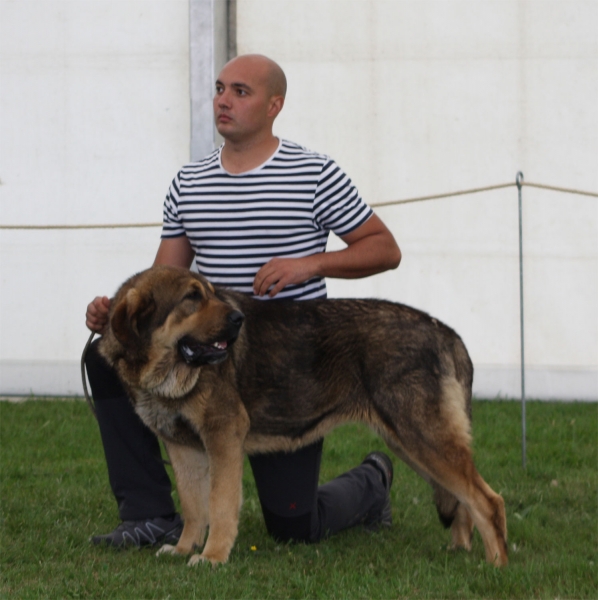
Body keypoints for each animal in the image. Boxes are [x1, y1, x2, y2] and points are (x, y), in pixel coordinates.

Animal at [98, 266, 510, 568]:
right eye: (192, 298)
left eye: (209, 293)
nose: (238, 319)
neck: (167, 372)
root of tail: (447, 333)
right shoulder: (183, 449)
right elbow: (194, 508)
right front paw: (184, 549)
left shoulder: (223, 438)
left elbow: (219, 505)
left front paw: (212, 556)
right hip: (411, 443)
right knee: (463, 500)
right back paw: (459, 551)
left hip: (423, 439)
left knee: (488, 500)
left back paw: (496, 565)